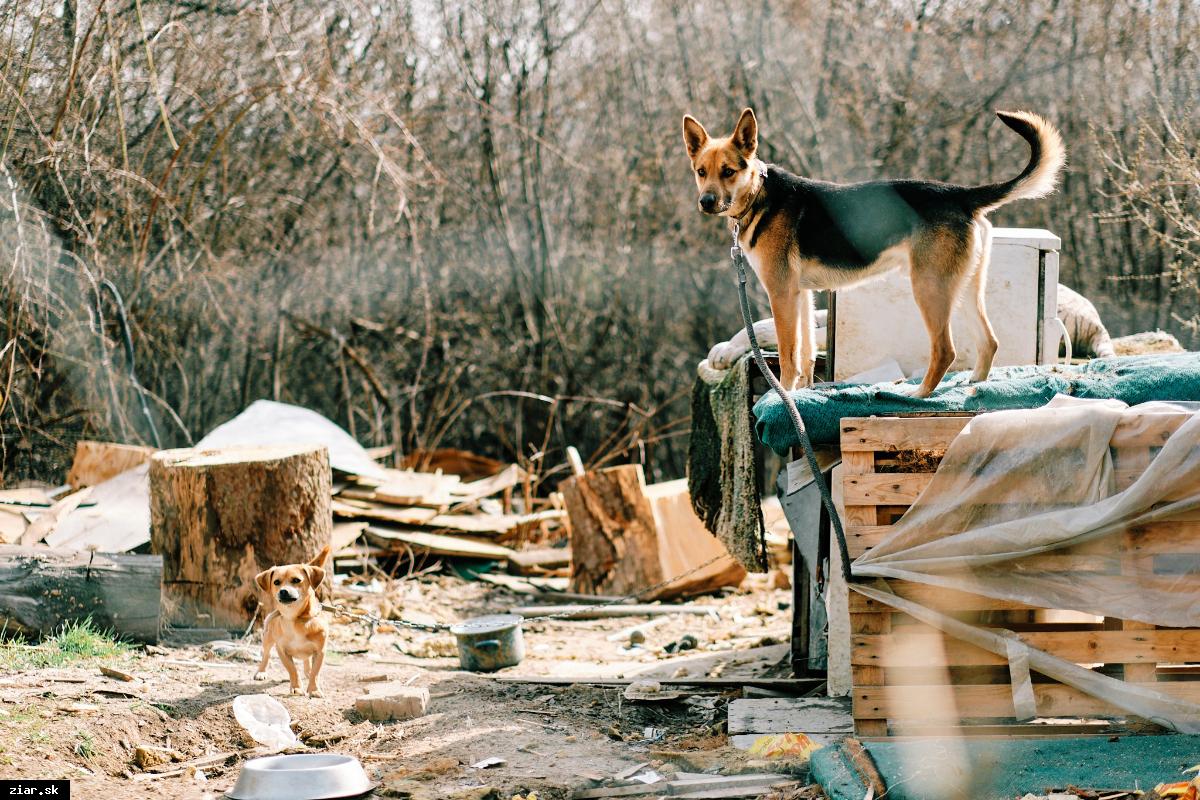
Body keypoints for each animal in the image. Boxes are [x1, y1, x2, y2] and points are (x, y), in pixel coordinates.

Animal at [252, 546, 328, 695]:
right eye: (276, 582)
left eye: (296, 580)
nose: (283, 591)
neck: (295, 619)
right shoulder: (282, 651)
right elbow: (292, 670)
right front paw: (297, 687)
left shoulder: (320, 652)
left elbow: (316, 672)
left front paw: (314, 690)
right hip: (267, 639)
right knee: (266, 655)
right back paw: (261, 672)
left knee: (307, 661)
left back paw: (307, 671)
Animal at [681, 107, 1065, 395]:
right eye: (700, 171)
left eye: (728, 172)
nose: (705, 202)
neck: (759, 195)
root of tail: (960, 194)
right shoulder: (801, 296)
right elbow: (806, 354)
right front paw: (800, 394)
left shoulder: (781, 294)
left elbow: (789, 355)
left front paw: (785, 394)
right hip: (966, 289)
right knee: (989, 341)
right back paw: (973, 386)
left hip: (929, 288)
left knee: (945, 350)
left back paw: (919, 394)